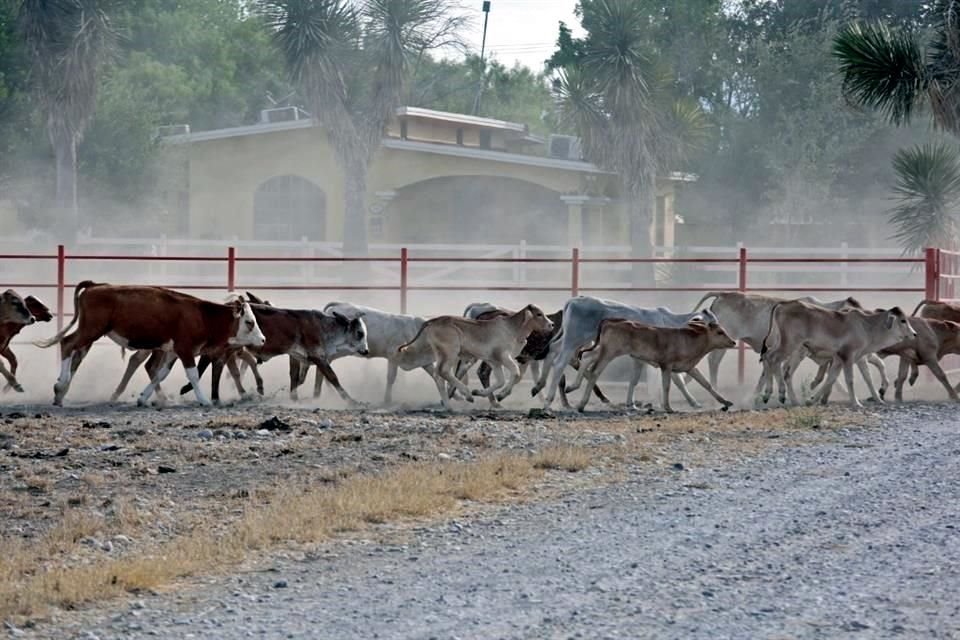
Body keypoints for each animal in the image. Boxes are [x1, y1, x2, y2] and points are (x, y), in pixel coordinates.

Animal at [35, 282, 264, 404]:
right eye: (250, 322)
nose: (263, 339)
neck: (201, 315)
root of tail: (95, 286)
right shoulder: (185, 349)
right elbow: (192, 374)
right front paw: (204, 400)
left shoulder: (172, 351)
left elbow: (159, 373)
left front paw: (143, 398)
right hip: (91, 330)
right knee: (67, 344)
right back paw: (60, 386)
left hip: (90, 332)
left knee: (76, 354)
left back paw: (61, 392)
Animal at [396, 302, 552, 408]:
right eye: (539, 314)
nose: (551, 324)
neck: (512, 328)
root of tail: (432, 321)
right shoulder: (503, 357)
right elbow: (515, 373)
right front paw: (500, 395)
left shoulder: (494, 361)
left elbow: (500, 380)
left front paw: (479, 392)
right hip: (451, 352)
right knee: (444, 371)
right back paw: (467, 394)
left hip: (441, 353)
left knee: (438, 375)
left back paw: (449, 405)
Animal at [576, 320, 736, 416]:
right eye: (720, 332)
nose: (733, 342)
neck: (689, 341)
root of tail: (611, 320)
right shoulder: (666, 366)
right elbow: (667, 386)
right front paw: (668, 407)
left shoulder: (690, 367)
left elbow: (706, 384)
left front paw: (725, 402)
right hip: (609, 353)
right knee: (594, 372)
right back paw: (581, 404)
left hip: (602, 350)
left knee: (586, 358)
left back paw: (575, 388)